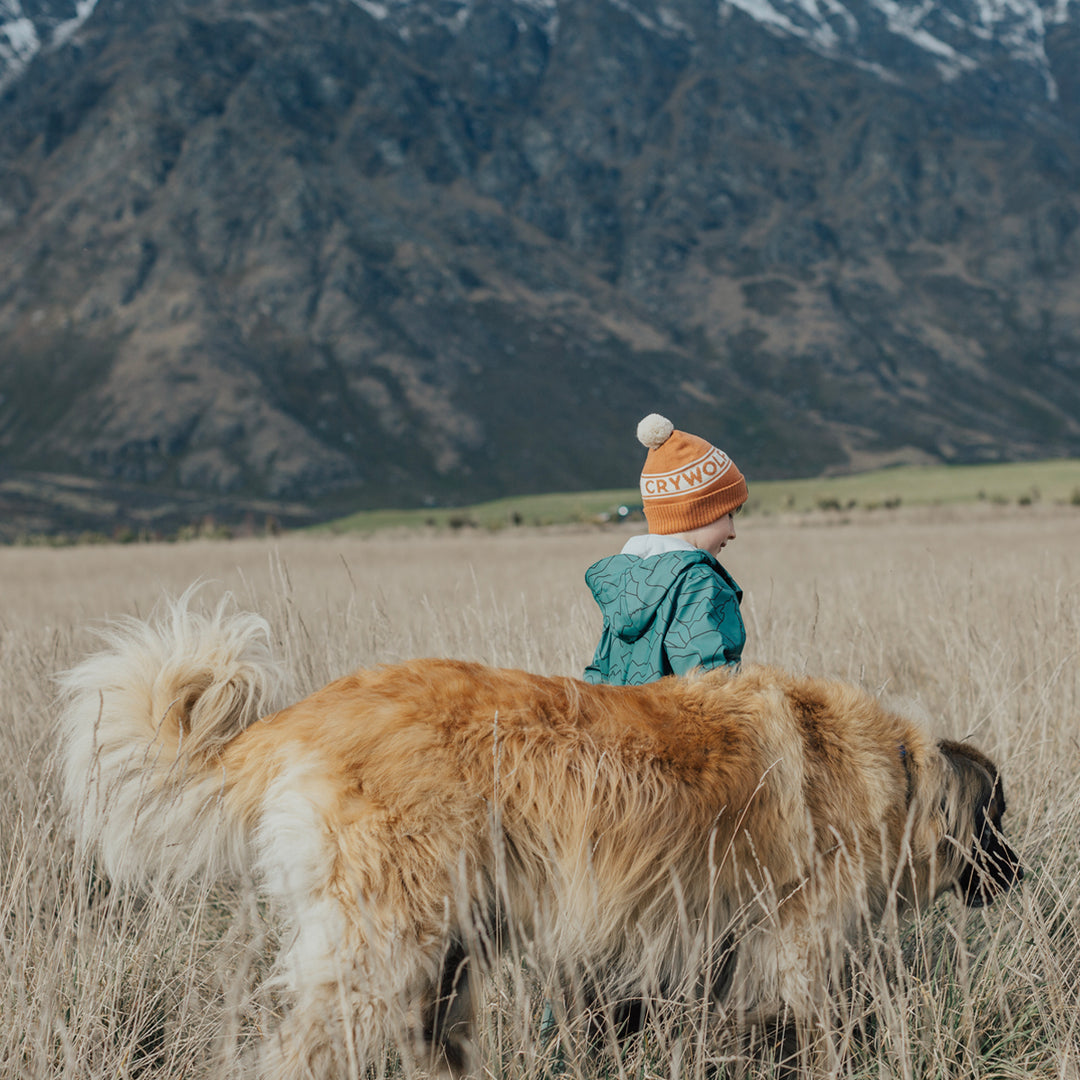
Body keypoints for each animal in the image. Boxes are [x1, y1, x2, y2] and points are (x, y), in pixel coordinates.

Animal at [59, 596, 1019, 1075]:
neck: (900, 773)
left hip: (440, 951)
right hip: (385, 939)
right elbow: (814, 1024)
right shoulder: (798, 942)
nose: (1022, 874)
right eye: (999, 822)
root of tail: (298, 718)